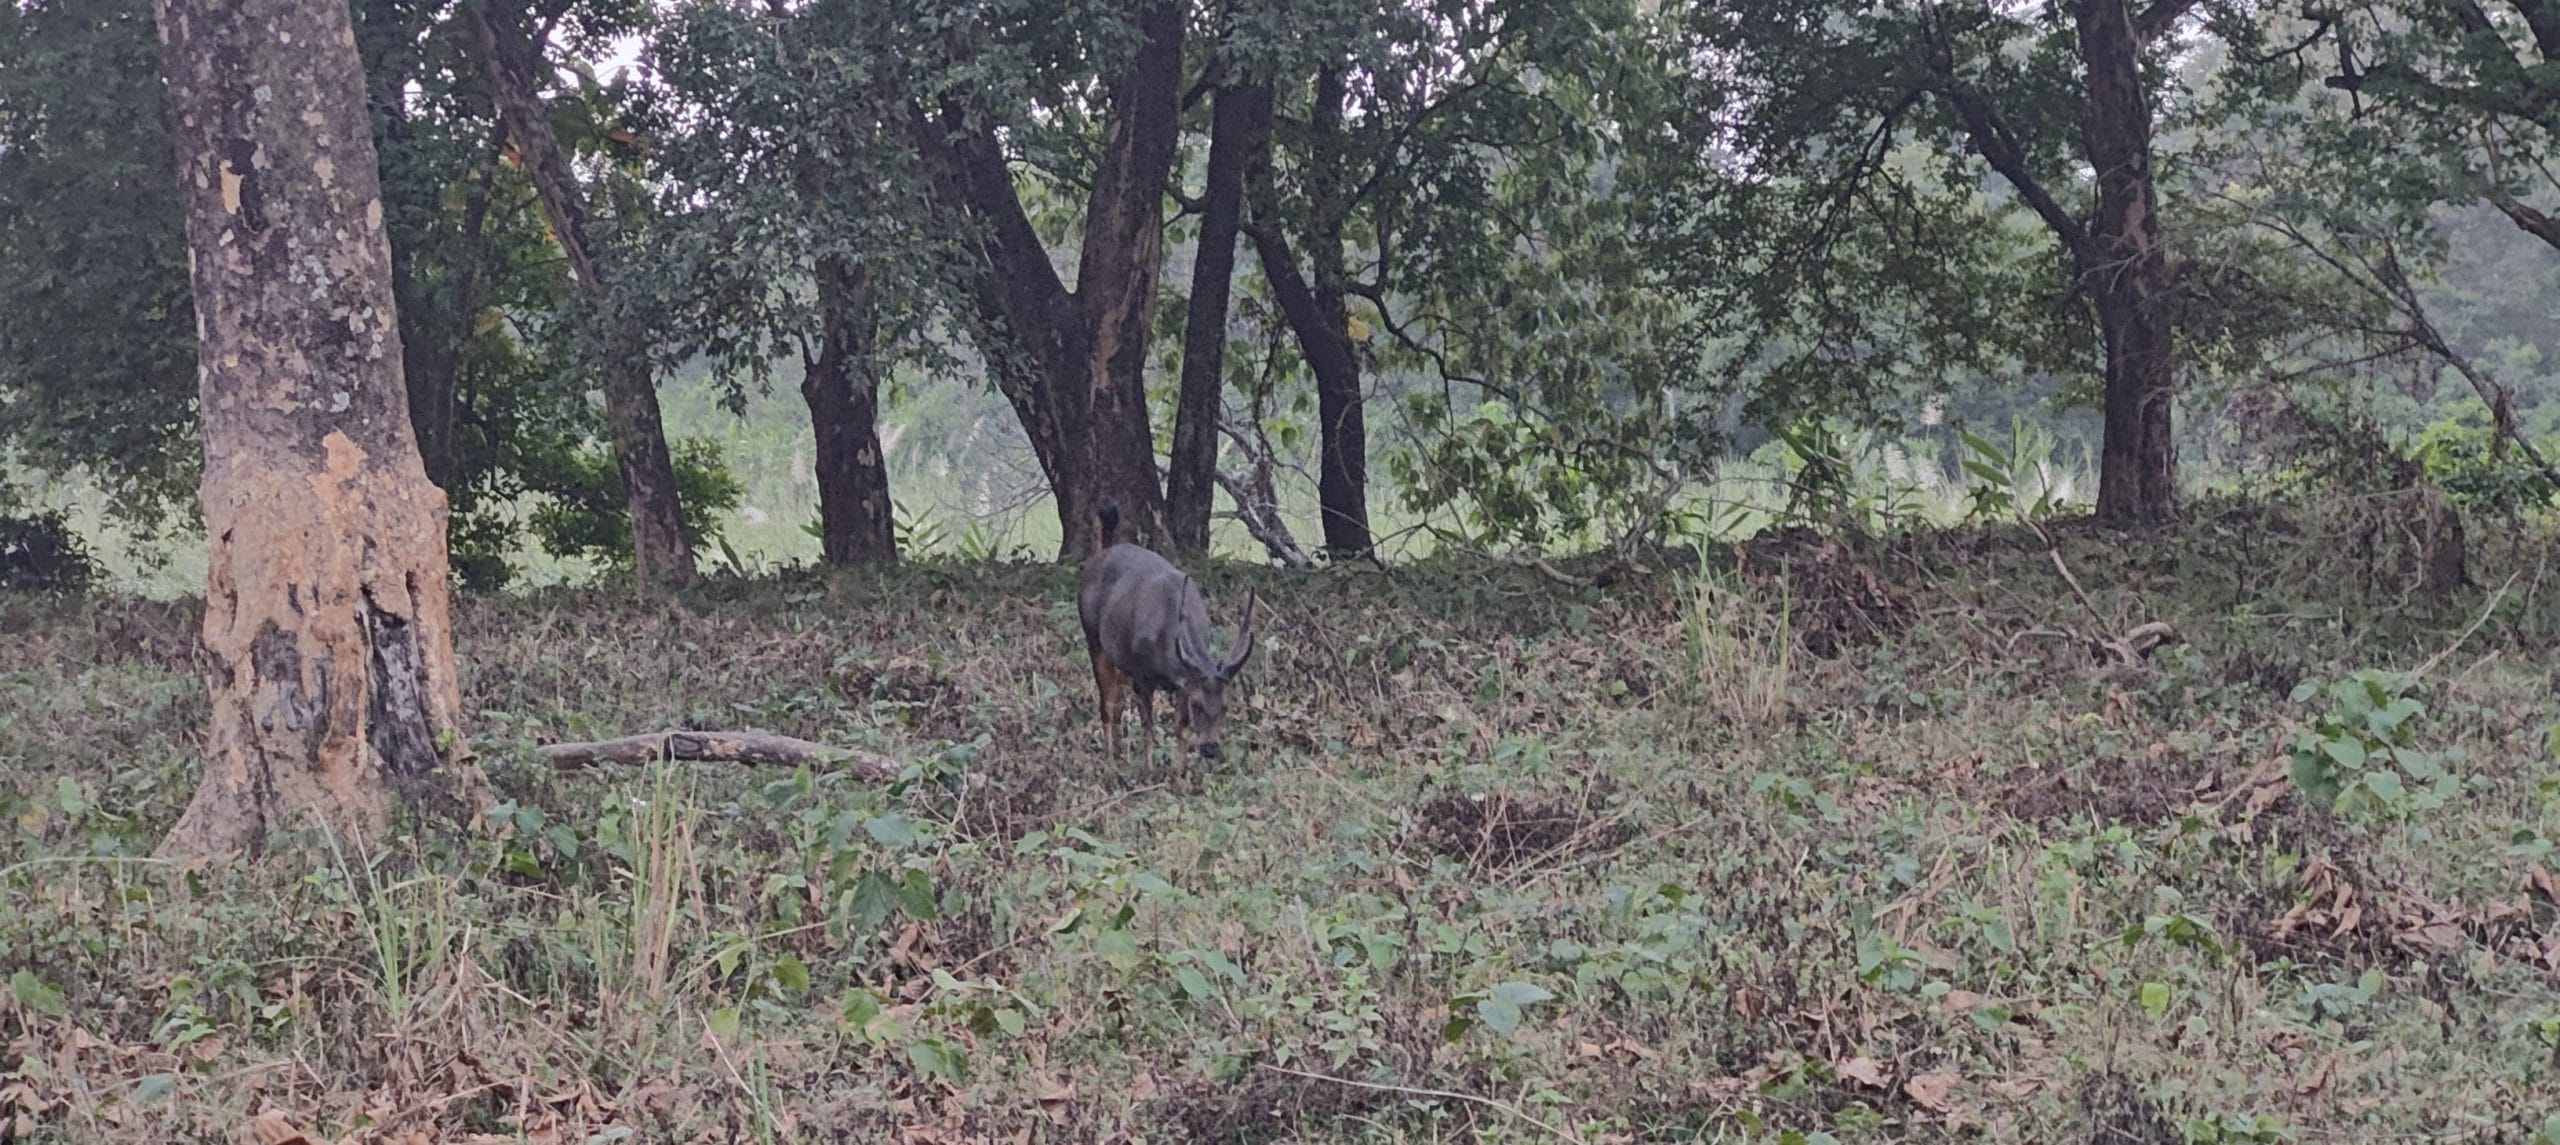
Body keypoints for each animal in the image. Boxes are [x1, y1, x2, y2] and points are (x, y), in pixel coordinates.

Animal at [1078, 499, 1259, 767]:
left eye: (1226, 705)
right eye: (1197, 704)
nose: (1210, 748)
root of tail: (1102, 554)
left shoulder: (1184, 682)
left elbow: (1180, 727)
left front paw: (1181, 772)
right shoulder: (1142, 675)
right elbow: (1148, 726)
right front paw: (1149, 768)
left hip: (1119, 658)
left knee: (1117, 701)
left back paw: (1119, 754)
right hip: (1093, 639)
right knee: (1107, 703)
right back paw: (1110, 758)